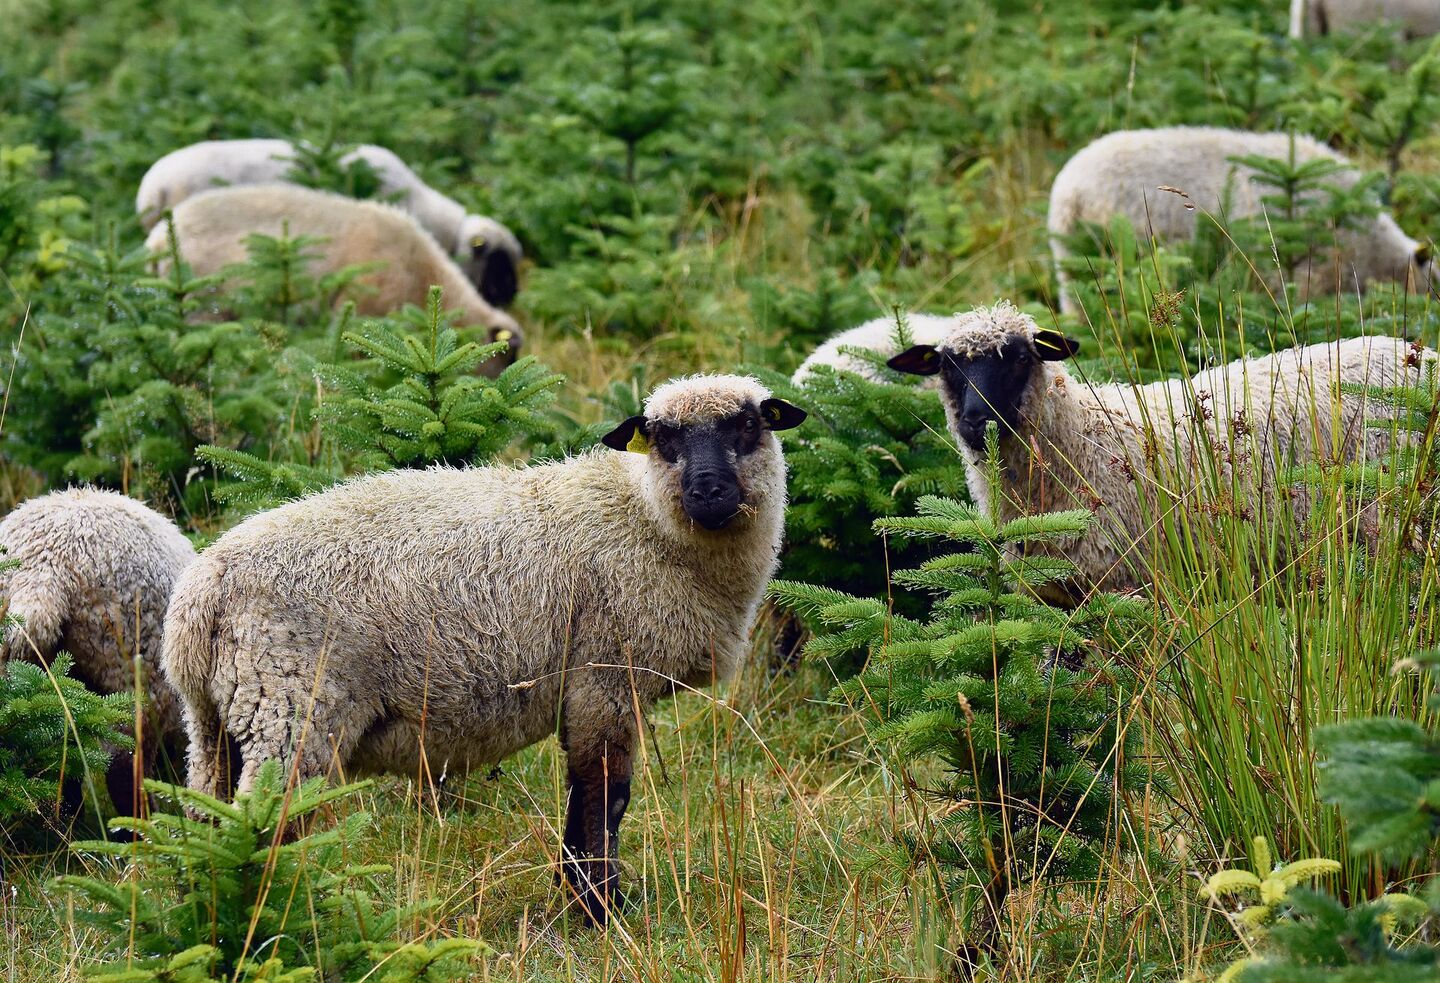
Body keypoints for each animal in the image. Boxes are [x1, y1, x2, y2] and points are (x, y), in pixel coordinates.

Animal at [161, 374, 807, 922]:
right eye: (664, 440)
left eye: (748, 425)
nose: (708, 490)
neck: (645, 519)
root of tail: (200, 596)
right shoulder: (603, 676)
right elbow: (603, 797)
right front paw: (602, 910)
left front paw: (583, 897)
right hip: (290, 703)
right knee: (264, 825)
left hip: (220, 721)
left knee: (208, 819)